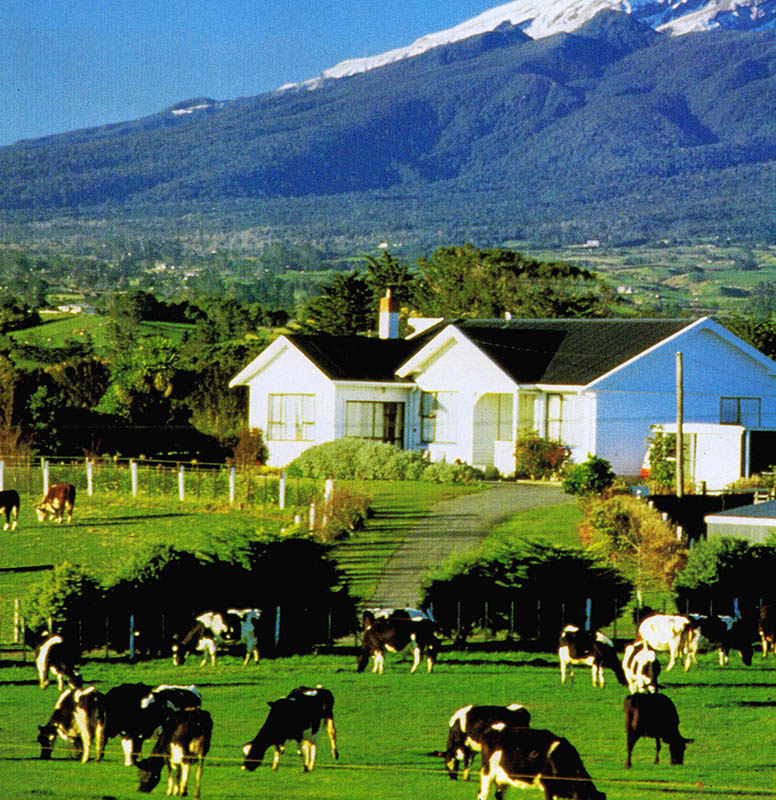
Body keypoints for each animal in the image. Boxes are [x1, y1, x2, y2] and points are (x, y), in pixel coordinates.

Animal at [476, 724, 608, 800]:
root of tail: (492, 729)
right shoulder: (548, 785)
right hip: (487, 772)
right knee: (482, 794)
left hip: (504, 776)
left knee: (498, 795)